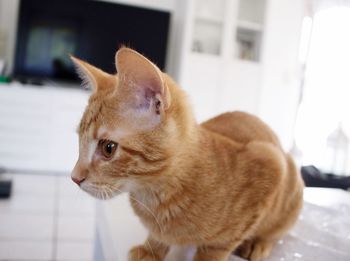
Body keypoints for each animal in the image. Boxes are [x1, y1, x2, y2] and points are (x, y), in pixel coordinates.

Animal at [70, 47, 304, 260]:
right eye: (79, 141)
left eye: (108, 148)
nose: (74, 178)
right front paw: (152, 249)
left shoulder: (270, 161)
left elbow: (218, 247)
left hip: (289, 179)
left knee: (275, 230)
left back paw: (258, 244)